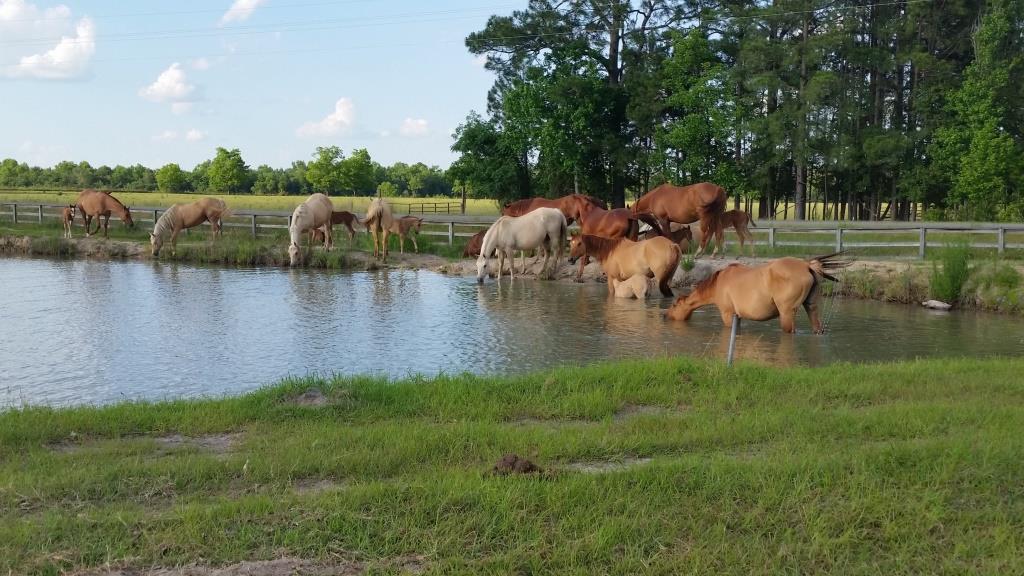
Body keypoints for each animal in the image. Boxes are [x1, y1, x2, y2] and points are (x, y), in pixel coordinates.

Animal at [663, 251, 847, 332]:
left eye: (674, 305)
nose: (665, 316)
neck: (717, 283)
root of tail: (806, 265)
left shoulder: (727, 314)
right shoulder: (738, 317)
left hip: (787, 313)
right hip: (811, 307)